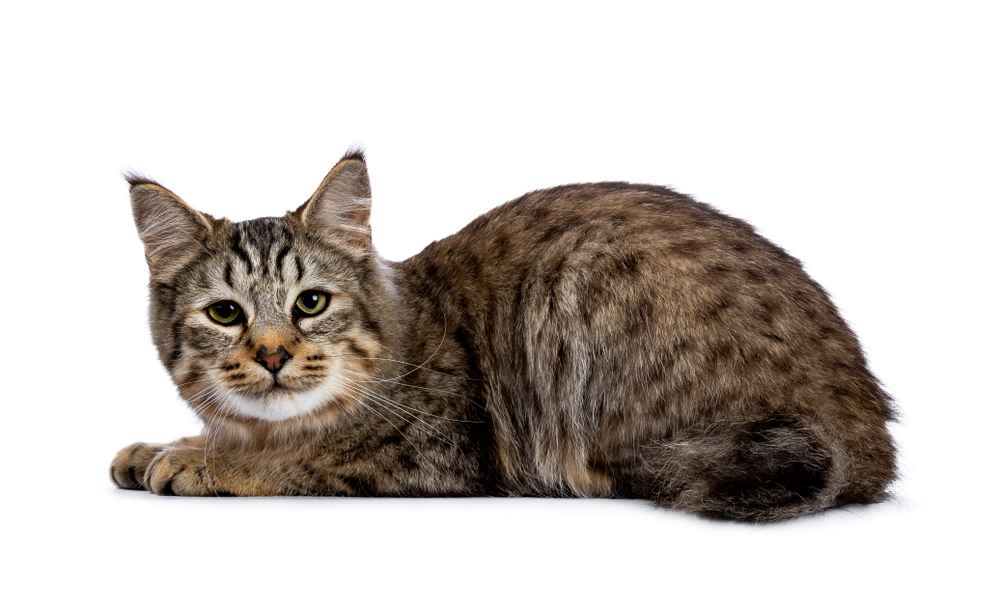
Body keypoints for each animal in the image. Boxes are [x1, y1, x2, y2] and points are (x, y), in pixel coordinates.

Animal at [111, 150, 900, 520]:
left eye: (310, 303)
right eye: (226, 315)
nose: (273, 355)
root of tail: (870, 436)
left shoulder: (434, 456)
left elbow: (302, 459)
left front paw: (203, 461)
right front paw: (170, 445)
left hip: (579, 284)